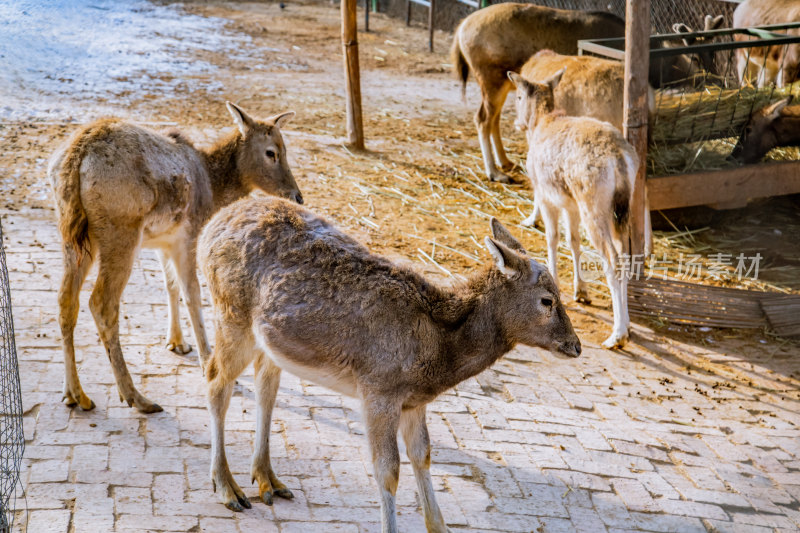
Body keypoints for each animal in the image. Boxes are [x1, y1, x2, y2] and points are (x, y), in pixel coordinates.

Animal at [49, 103, 304, 412]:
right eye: (272, 152)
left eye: (286, 148)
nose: (297, 196)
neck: (214, 189)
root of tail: (76, 157)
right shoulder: (190, 234)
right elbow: (192, 293)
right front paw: (207, 360)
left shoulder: (164, 241)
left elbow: (170, 285)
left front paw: (177, 343)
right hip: (121, 230)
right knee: (101, 303)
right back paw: (136, 397)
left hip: (72, 234)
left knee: (66, 300)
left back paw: (75, 394)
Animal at [196, 196, 580, 532]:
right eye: (547, 300)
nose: (575, 346)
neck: (436, 355)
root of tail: (210, 226)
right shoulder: (378, 390)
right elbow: (388, 470)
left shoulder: (414, 401)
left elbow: (423, 455)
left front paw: (439, 525)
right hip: (231, 313)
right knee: (215, 381)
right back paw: (227, 487)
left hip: (268, 341)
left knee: (266, 387)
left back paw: (267, 479)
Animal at [450, 2, 624, 183]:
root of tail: (462, 27)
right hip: (492, 81)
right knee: (483, 119)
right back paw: (495, 173)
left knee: (494, 119)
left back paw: (505, 162)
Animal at [512, 67, 648, 350]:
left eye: (518, 96)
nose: (517, 123)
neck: (542, 122)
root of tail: (619, 158)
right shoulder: (570, 204)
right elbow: (572, 241)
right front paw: (580, 290)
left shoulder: (545, 195)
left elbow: (552, 238)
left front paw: (556, 283)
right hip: (623, 208)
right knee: (625, 254)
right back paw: (627, 326)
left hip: (593, 204)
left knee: (612, 259)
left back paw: (617, 335)